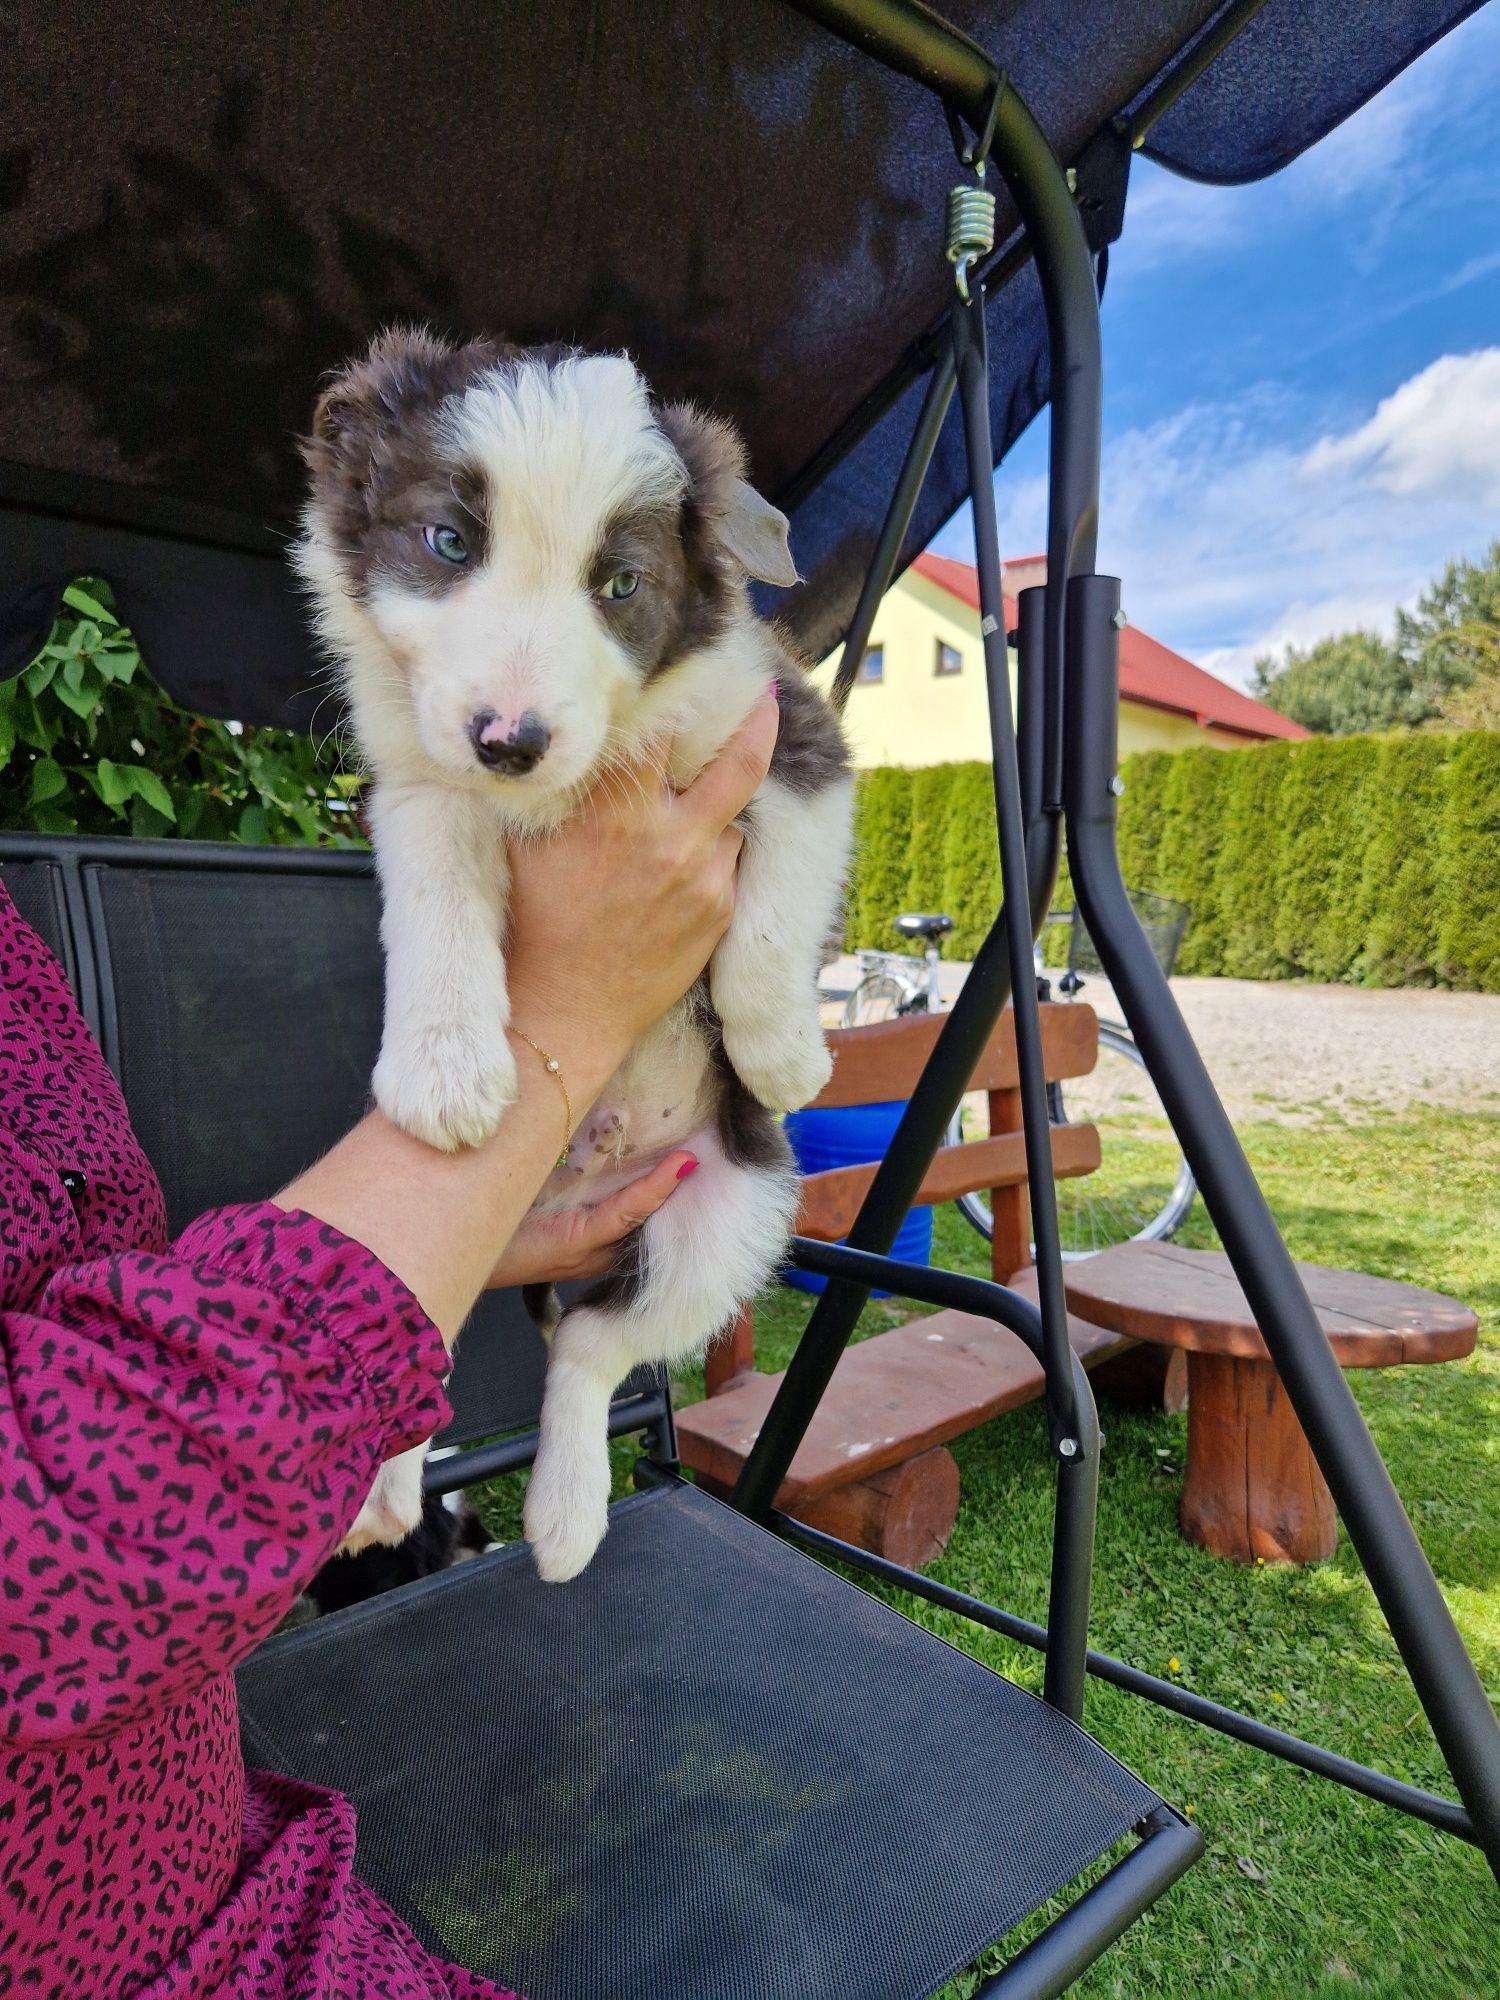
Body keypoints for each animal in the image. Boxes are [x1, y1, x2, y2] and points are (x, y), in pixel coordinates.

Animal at [300, 332, 852, 1576]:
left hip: (722, 1215)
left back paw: (562, 1511)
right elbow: (438, 904)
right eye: (449, 542)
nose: (511, 740)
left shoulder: (787, 733)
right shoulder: (417, 783)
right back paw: (395, 1490)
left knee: (590, 1348)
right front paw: (445, 1067)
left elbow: (774, 904)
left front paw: (782, 1049)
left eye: (621, 586)